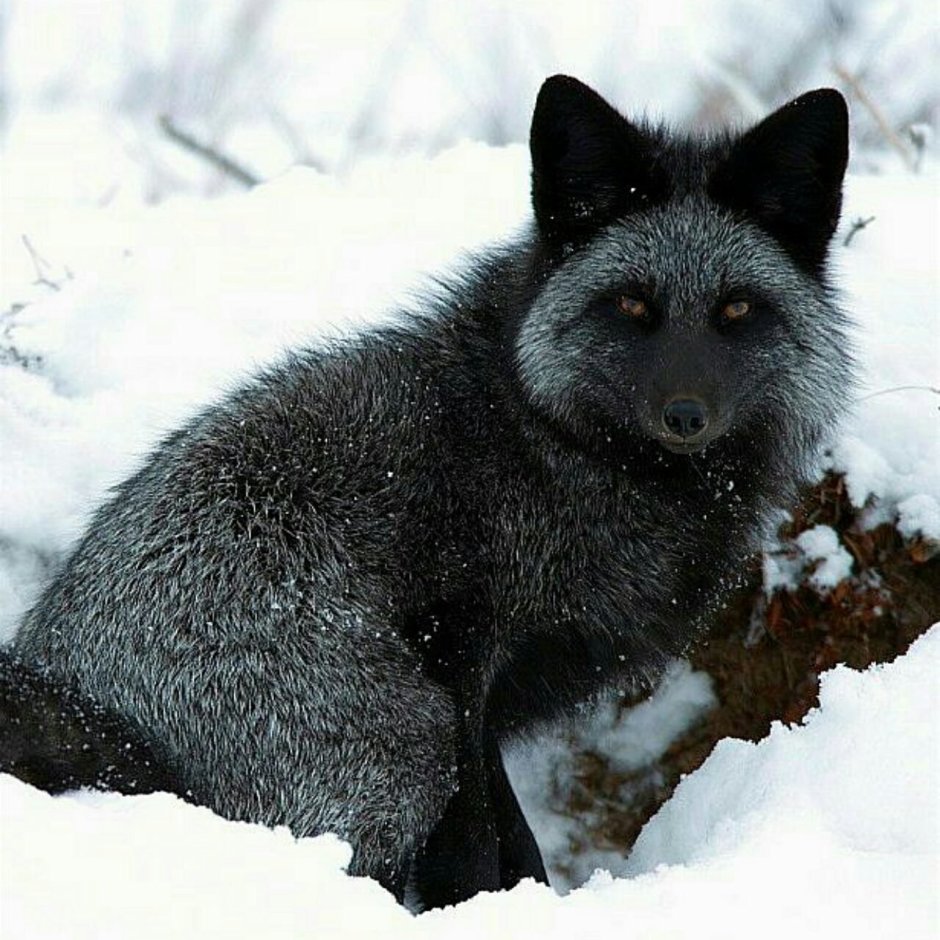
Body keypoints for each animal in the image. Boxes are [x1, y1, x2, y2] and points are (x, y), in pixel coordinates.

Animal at [1, 75, 853, 909]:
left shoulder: (491, 695)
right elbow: (478, 841)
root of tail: (76, 689)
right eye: (630, 305)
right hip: (403, 741)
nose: (685, 415)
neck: (548, 441)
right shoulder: (460, 651)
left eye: (737, 308)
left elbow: (510, 837)